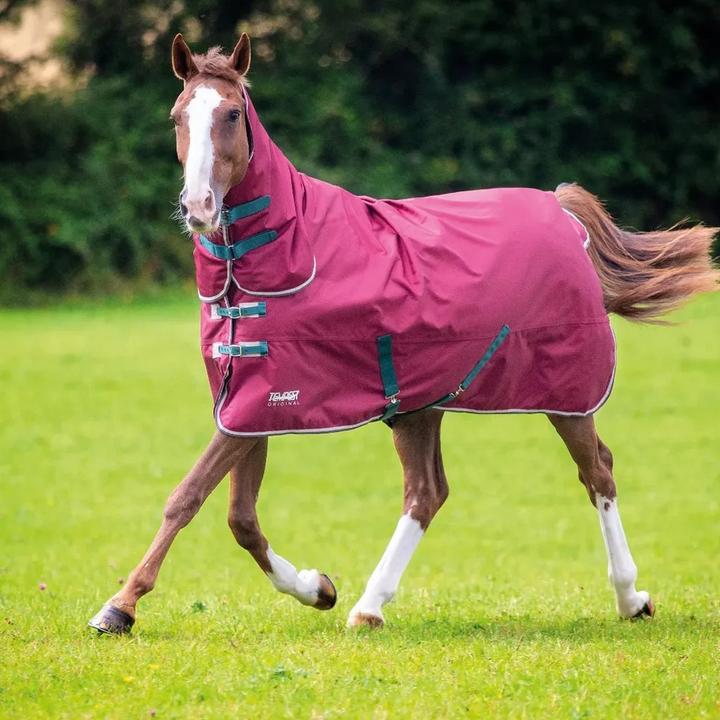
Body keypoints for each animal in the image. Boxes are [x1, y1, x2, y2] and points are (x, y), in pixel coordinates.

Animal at [88, 33, 717, 634]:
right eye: (177, 115)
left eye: (232, 113)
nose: (198, 206)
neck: (283, 256)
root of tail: (561, 209)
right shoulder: (247, 400)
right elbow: (240, 518)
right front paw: (318, 588)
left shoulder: (260, 402)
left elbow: (188, 497)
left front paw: (119, 607)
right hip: (422, 405)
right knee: (427, 493)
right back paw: (368, 607)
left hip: (566, 394)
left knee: (598, 473)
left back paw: (631, 598)